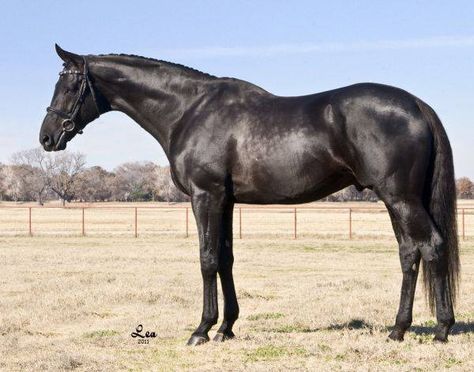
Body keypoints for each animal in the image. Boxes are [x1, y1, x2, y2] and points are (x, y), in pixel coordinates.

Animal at [39, 45, 460, 344]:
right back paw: (398, 329)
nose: (47, 137)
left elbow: (207, 259)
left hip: (400, 197)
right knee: (409, 253)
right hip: (395, 200)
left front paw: (202, 330)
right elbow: (226, 258)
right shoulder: (224, 201)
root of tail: (416, 105)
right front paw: (226, 328)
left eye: (70, 85)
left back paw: (441, 329)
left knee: (432, 246)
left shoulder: (205, 196)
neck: (188, 110)